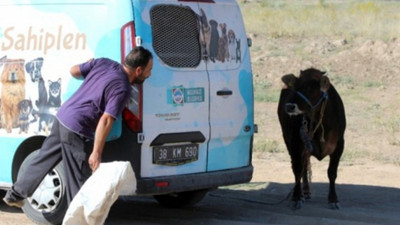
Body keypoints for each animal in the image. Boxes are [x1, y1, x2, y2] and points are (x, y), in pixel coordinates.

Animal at [276, 68, 346, 209]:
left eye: (311, 89)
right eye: (295, 87)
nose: (289, 106)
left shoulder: (340, 145)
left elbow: (332, 172)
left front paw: (333, 199)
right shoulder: (296, 144)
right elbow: (297, 169)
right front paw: (297, 197)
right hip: (288, 140)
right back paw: (304, 192)